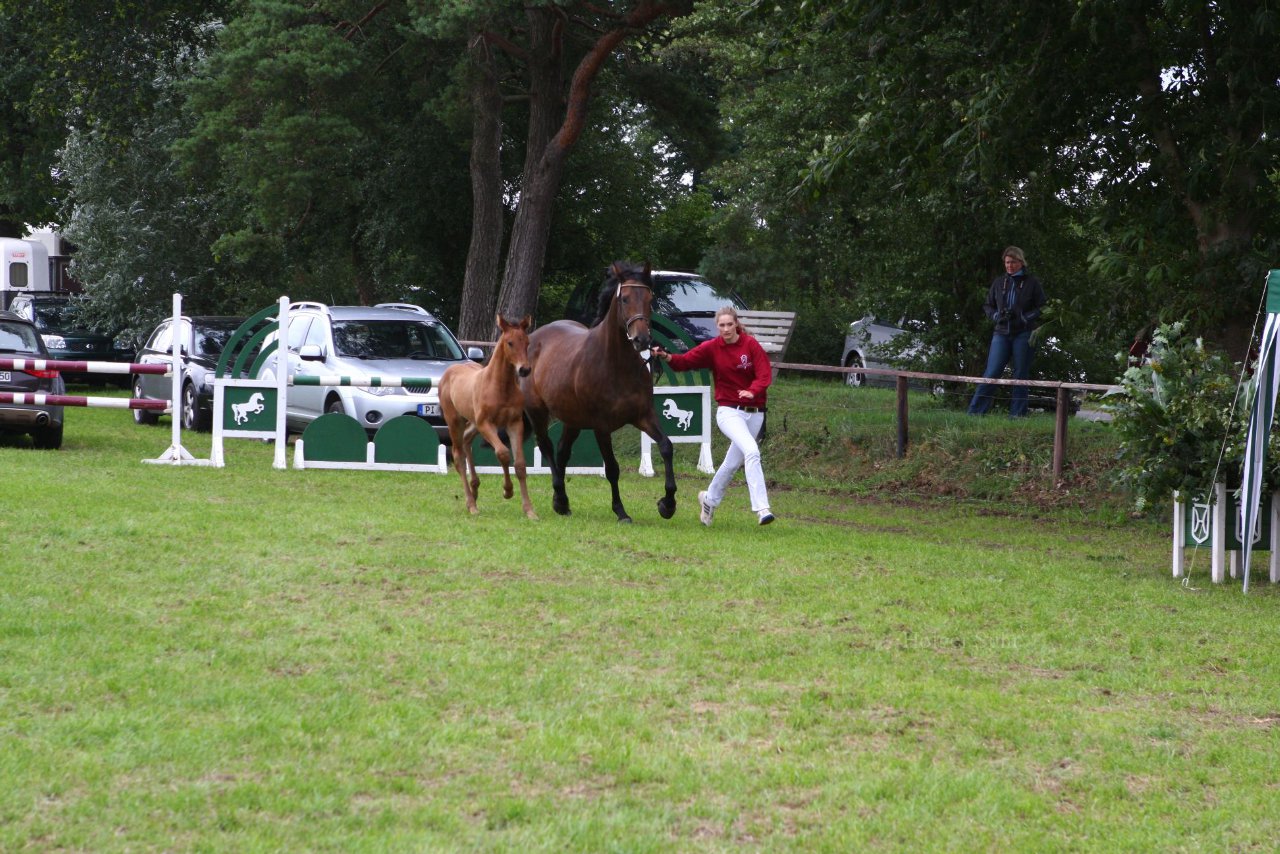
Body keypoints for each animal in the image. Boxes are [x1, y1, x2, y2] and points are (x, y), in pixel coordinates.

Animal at [440, 312, 535, 517]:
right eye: (509, 343)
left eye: (527, 342)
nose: (524, 369)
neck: (500, 387)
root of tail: (450, 370)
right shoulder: (486, 424)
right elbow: (503, 453)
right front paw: (507, 491)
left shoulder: (514, 423)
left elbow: (520, 465)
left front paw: (530, 510)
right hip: (455, 420)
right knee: (458, 456)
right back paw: (471, 504)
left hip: (473, 423)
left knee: (467, 441)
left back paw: (474, 490)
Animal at [519, 257, 680, 524]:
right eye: (624, 298)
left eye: (649, 299)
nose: (642, 340)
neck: (616, 364)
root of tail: (535, 337)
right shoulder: (601, 427)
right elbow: (612, 468)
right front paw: (621, 511)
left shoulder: (643, 416)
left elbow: (667, 447)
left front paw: (667, 504)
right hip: (538, 413)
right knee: (547, 447)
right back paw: (560, 498)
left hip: (572, 420)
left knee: (562, 452)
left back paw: (562, 502)